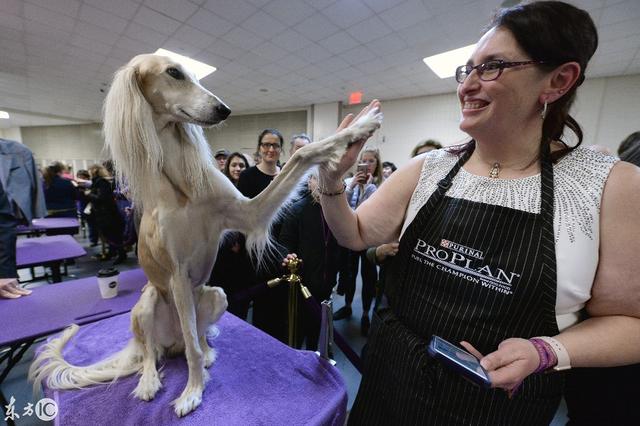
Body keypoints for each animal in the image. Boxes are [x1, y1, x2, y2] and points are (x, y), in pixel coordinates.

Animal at [30, 53, 382, 416]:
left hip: (215, 294)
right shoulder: (178, 274)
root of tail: (167, 342)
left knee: (194, 337)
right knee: (154, 351)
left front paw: (359, 127)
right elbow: (191, 350)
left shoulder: (248, 212)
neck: (181, 185)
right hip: (148, 303)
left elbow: (301, 154)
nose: (224, 109)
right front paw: (192, 392)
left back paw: (206, 352)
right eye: (173, 73)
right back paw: (149, 379)